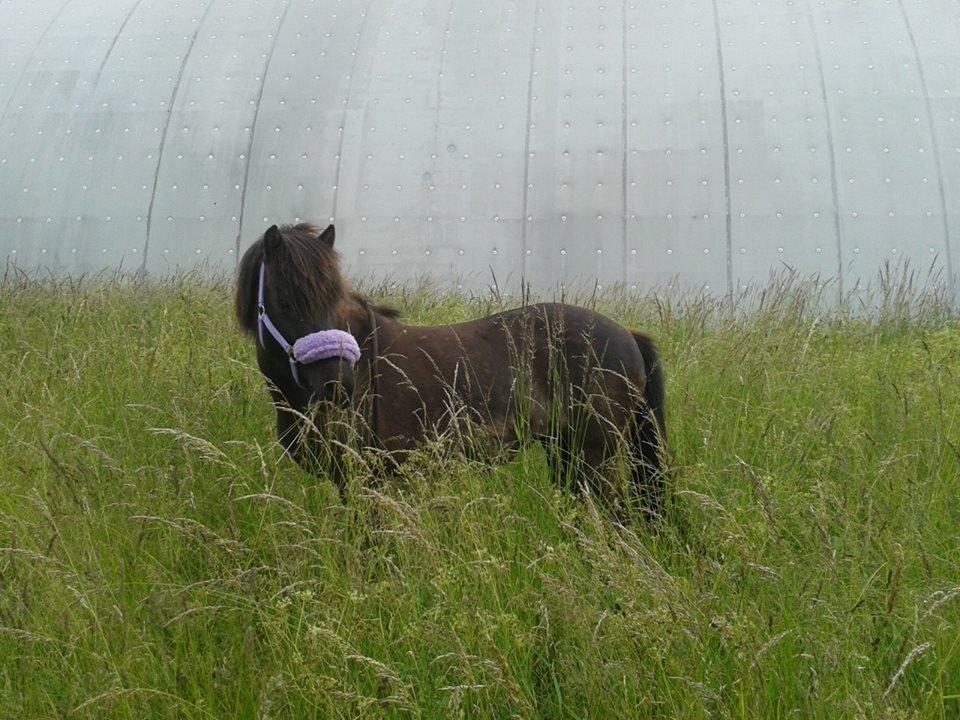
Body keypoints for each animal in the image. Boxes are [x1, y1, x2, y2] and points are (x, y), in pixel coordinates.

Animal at [236, 224, 668, 516]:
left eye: (335, 297)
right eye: (286, 301)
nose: (340, 383)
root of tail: (627, 334)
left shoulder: (364, 480)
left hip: (593, 458)